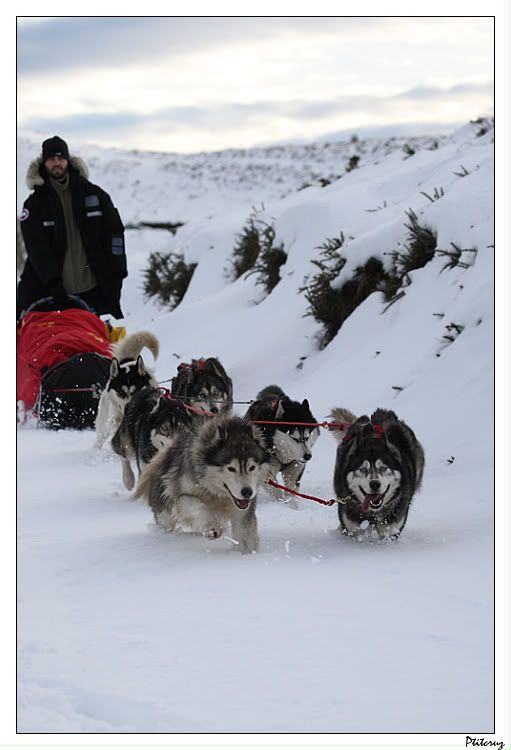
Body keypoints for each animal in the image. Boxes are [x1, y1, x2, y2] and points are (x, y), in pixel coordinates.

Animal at [135, 414, 272, 556]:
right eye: (231, 468)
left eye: (252, 467)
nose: (247, 492)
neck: (216, 492)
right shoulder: (182, 497)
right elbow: (193, 502)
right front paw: (212, 527)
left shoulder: (243, 511)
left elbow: (244, 535)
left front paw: (246, 554)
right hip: (164, 513)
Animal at [330, 408, 426, 544]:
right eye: (363, 469)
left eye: (383, 468)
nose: (375, 484)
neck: (373, 514)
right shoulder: (352, 528)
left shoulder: (391, 531)